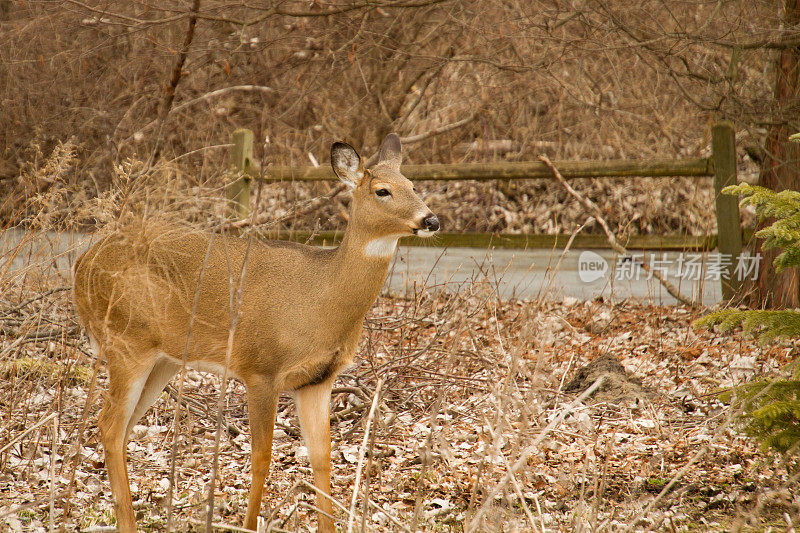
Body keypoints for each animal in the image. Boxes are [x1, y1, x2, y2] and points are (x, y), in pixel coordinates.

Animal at [72, 132, 440, 528]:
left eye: (413, 185)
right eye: (382, 190)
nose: (431, 219)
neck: (321, 299)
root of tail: (81, 264)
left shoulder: (318, 380)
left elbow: (322, 459)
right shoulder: (261, 369)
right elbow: (262, 458)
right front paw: (249, 525)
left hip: (163, 359)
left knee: (121, 429)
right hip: (126, 341)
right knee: (108, 425)